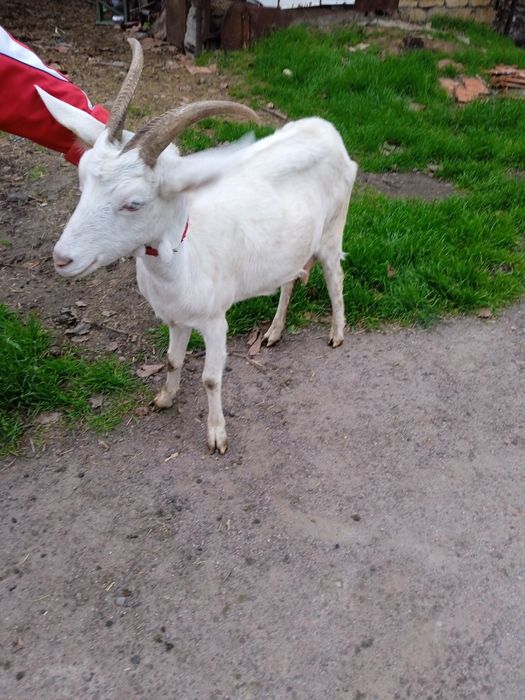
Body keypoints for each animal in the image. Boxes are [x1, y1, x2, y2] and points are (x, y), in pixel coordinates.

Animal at [38, 39, 357, 454]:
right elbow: (172, 361)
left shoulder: (215, 320)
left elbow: (210, 378)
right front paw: (164, 398)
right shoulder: (174, 318)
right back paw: (273, 332)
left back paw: (337, 333)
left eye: (134, 203)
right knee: (290, 278)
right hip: (293, 242)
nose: (62, 258)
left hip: (333, 229)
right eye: (82, 181)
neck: (182, 257)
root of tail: (327, 129)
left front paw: (216, 434)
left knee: (335, 277)